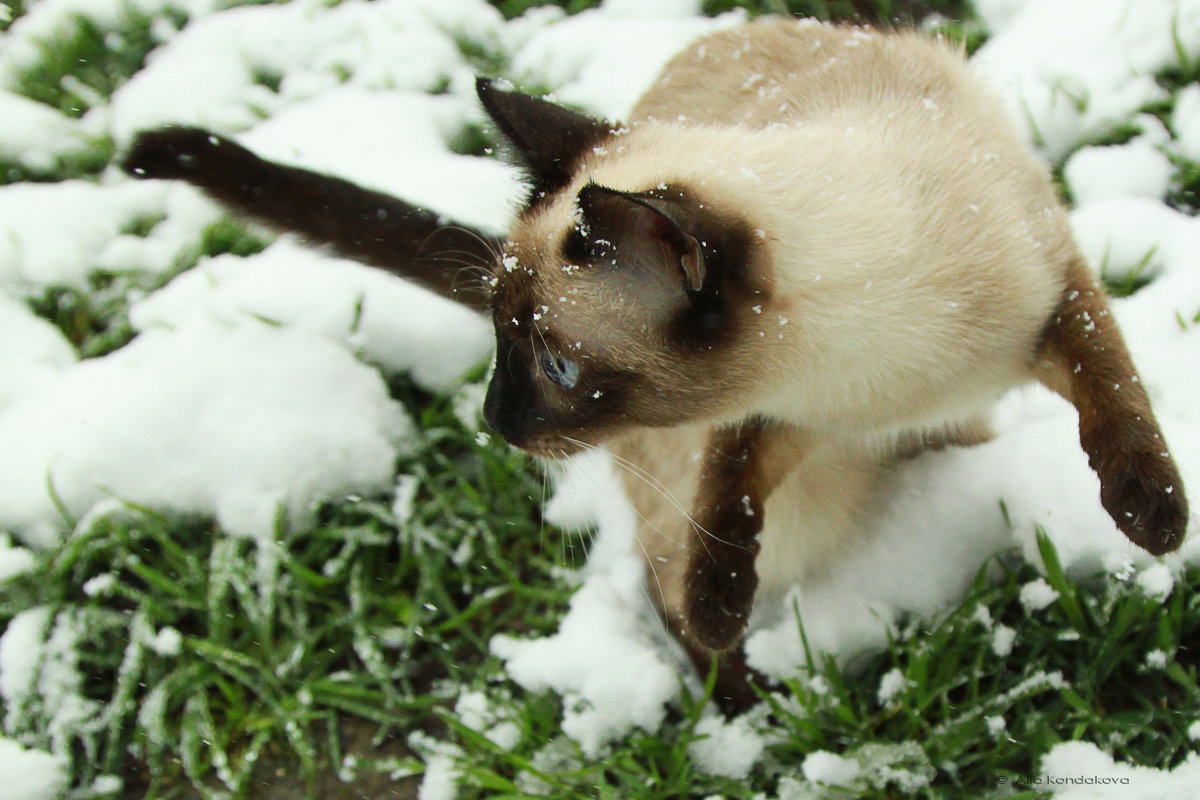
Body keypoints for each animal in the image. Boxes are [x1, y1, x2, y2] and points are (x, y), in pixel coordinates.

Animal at [117, 17, 1185, 705]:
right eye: (501, 339)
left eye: (554, 367)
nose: (494, 421)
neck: (875, 370)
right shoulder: (773, 417)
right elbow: (724, 503)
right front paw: (722, 611)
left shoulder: (1057, 289)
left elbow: (1115, 390)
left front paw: (1154, 522)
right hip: (776, 501)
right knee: (665, 585)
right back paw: (753, 712)